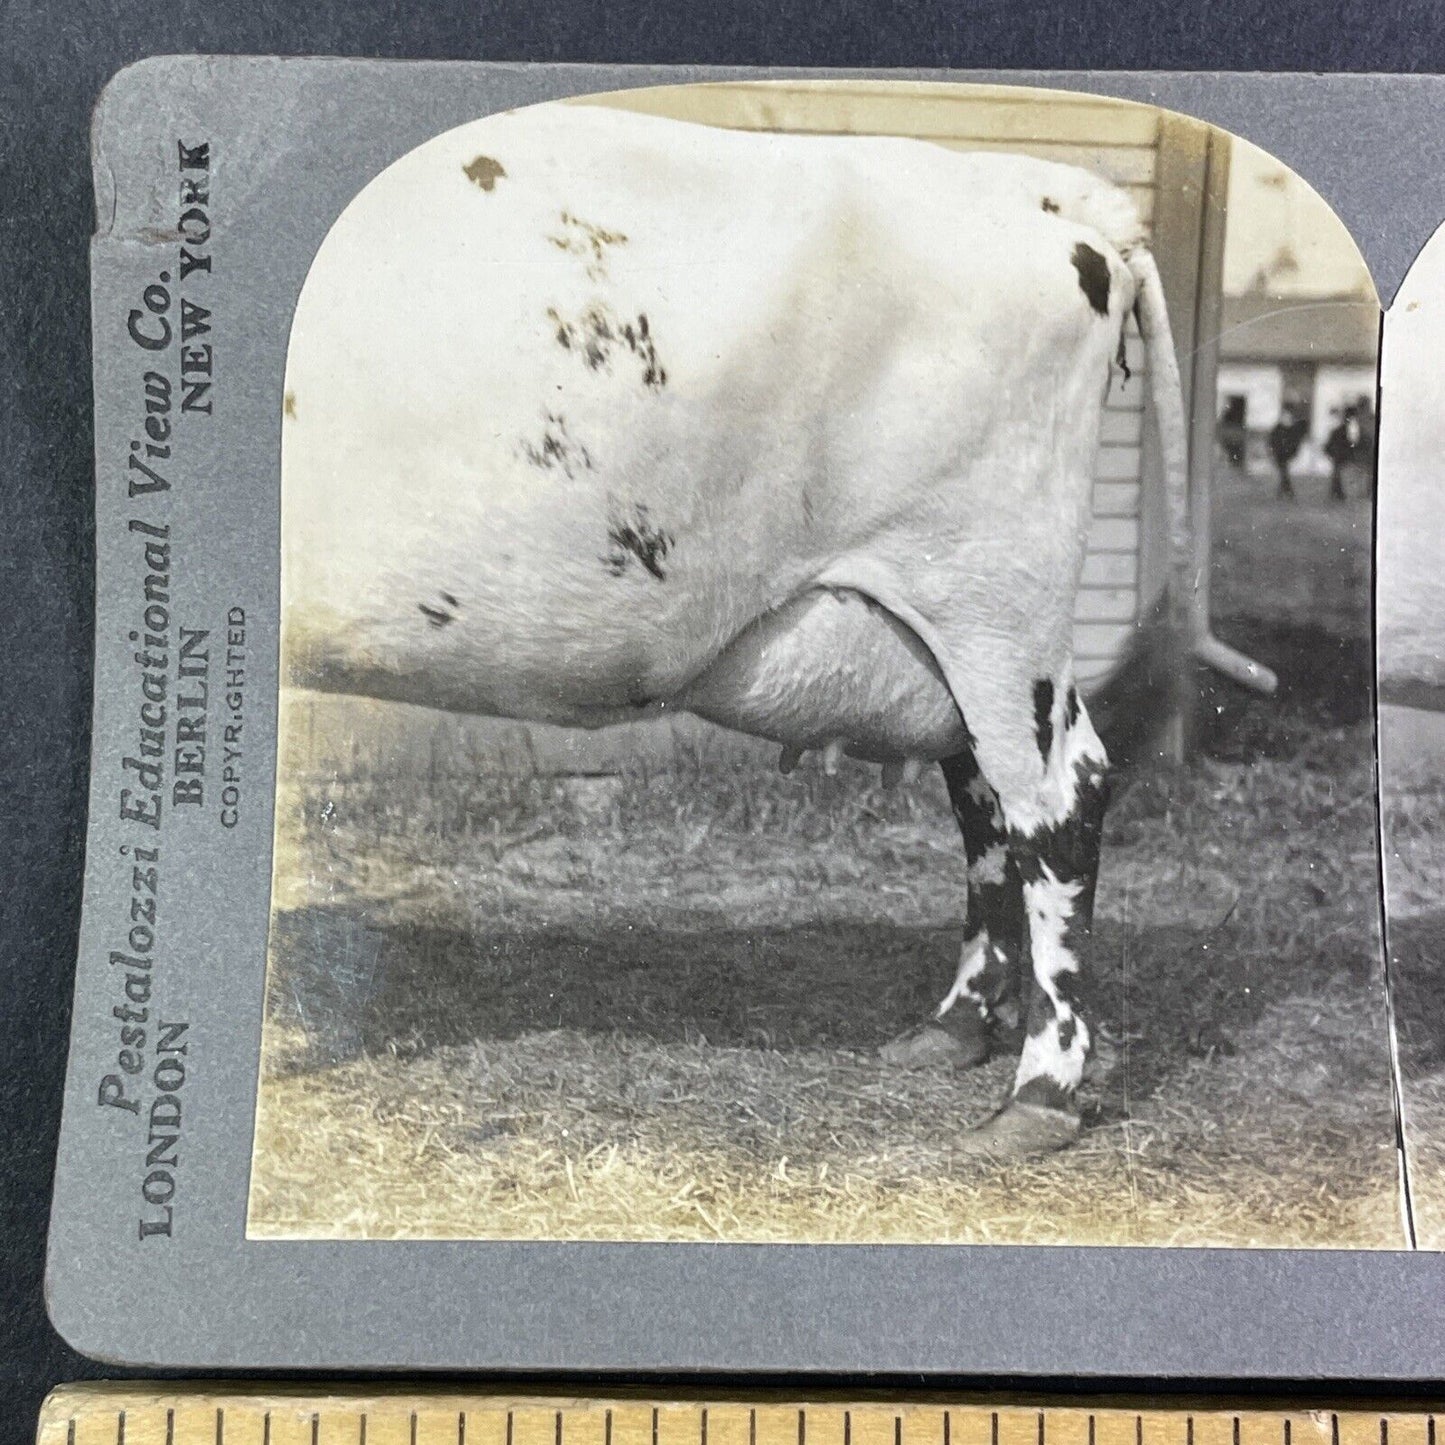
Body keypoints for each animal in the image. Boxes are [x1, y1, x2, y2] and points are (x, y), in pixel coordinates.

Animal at [278, 98, 1196, 1161]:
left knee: (1056, 798)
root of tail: (1043, 189)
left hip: (995, 594)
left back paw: (1038, 1090)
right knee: (981, 800)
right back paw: (955, 1024)